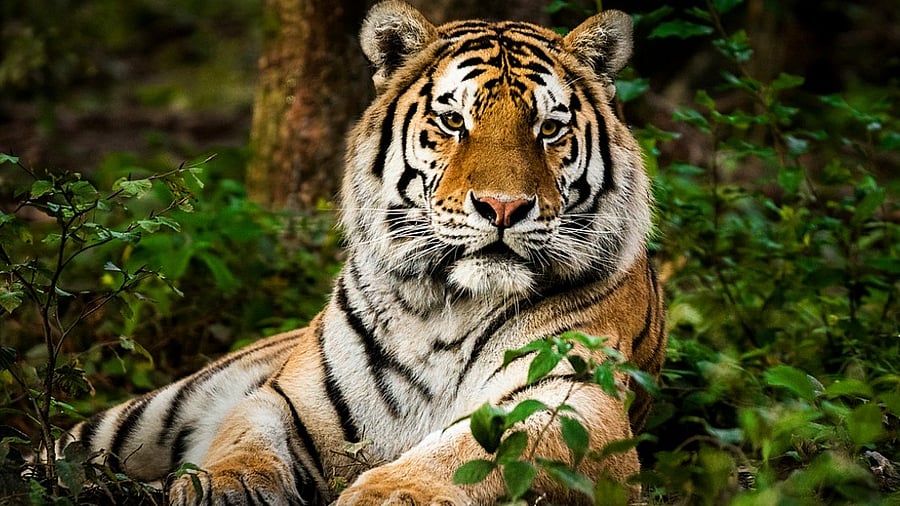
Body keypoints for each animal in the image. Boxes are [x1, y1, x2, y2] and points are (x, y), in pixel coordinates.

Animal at [56, 1, 666, 504]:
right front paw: (221, 487)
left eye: (549, 128)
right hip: (147, 415)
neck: (446, 307)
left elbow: (473, 455)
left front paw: (388, 495)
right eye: (453, 121)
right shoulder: (288, 398)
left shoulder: (574, 401)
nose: (503, 206)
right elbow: (243, 439)